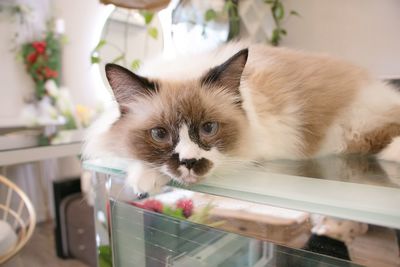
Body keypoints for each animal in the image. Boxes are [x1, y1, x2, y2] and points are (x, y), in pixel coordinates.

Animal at [83, 43, 400, 195]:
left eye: (209, 128)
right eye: (160, 134)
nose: (190, 163)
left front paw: (146, 180)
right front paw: (145, 178)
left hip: (355, 130)